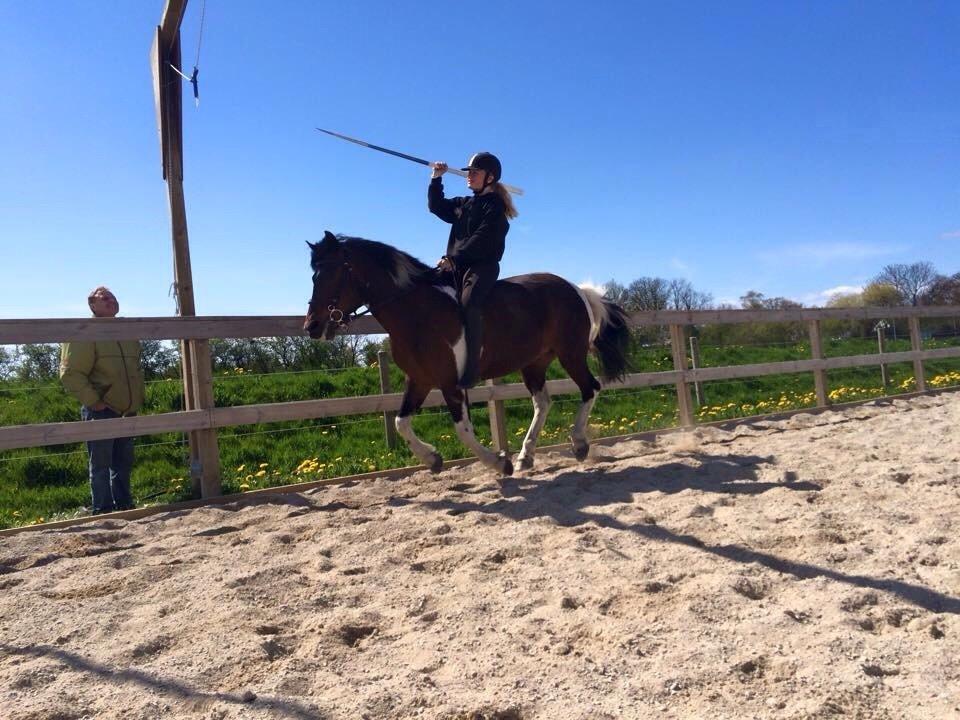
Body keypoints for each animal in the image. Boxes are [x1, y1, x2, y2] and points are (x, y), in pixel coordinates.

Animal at [303, 231, 630, 476]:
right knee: (543, 403)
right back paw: (526, 456)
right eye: (314, 276)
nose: (312, 326)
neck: (417, 312)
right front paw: (433, 459)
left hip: (570, 354)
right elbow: (401, 422)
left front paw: (498, 463)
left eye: (332, 273)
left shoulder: (450, 383)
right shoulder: (419, 380)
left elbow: (462, 429)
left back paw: (578, 444)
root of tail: (577, 290)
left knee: (590, 388)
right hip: (534, 363)